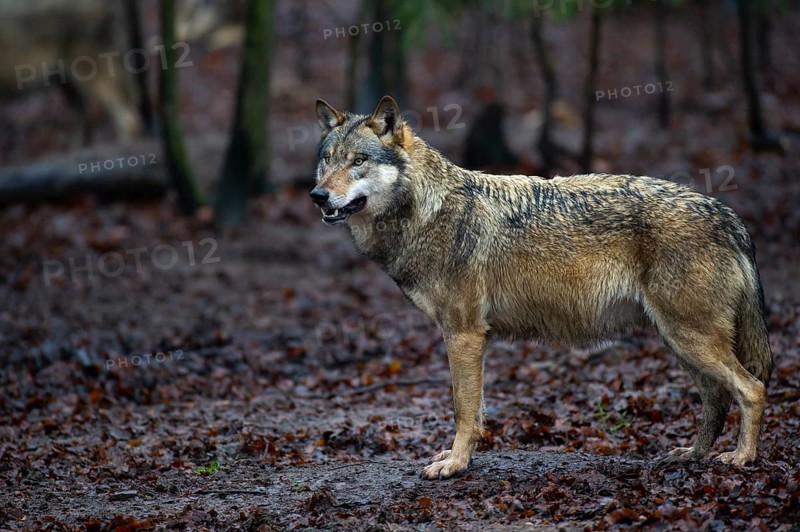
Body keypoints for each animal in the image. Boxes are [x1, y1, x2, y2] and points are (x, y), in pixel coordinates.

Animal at [309, 96, 773, 479]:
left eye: (358, 161)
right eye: (327, 160)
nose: (317, 196)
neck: (428, 210)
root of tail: (728, 214)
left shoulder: (464, 334)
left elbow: (463, 408)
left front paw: (455, 464)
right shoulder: (470, 338)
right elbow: (476, 410)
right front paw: (461, 458)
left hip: (690, 338)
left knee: (752, 388)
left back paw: (742, 457)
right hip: (680, 341)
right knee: (717, 399)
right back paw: (693, 455)